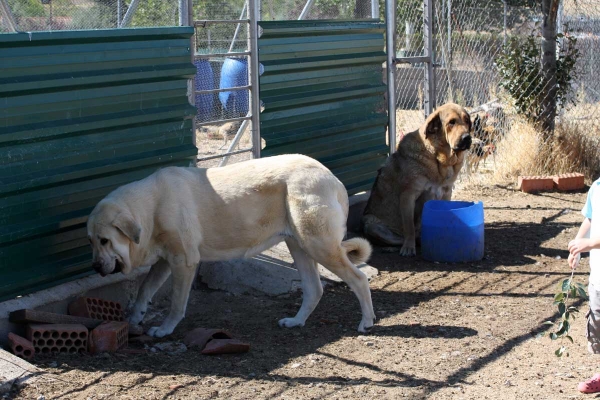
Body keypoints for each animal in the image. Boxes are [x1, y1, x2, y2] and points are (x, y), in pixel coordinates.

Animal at [86, 155, 376, 336]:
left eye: (105, 240)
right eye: (91, 241)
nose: (96, 267)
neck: (150, 208)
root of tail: (331, 177)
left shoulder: (184, 262)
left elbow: (177, 303)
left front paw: (165, 329)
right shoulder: (166, 261)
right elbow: (145, 288)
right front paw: (135, 317)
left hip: (318, 246)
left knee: (359, 280)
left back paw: (367, 322)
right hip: (300, 247)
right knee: (315, 289)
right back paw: (296, 322)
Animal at [360, 101, 474, 255]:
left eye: (467, 121)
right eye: (451, 122)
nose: (467, 138)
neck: (437, 159)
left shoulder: (446, 192)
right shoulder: (408, 195)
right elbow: (409, 227)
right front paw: (409, 248)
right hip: (371, 223)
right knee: (398, 238)